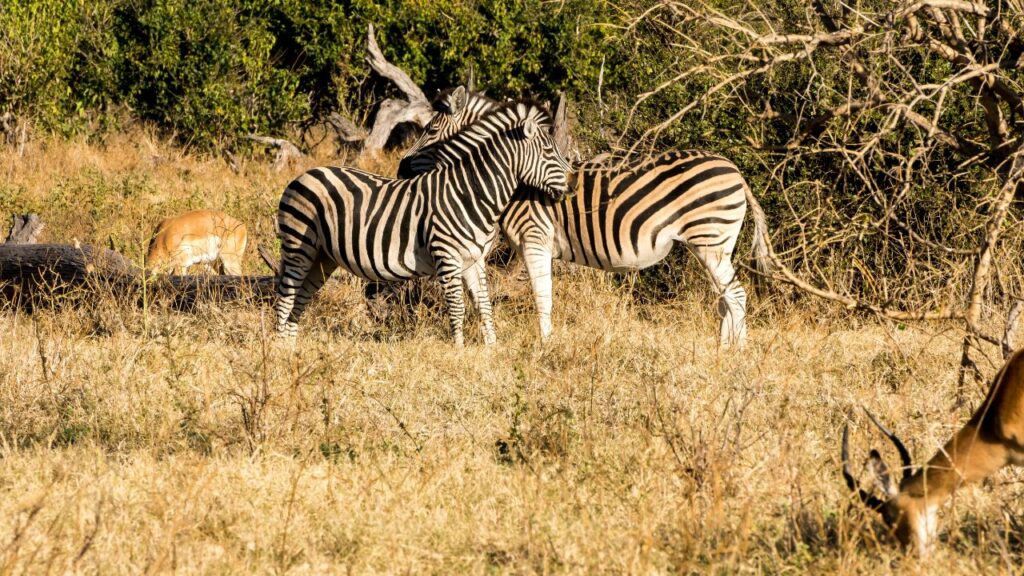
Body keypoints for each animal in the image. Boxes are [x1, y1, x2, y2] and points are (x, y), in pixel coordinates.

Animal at [275, 101, 571, 346]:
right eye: (548, 151)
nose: (572, 184)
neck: (470, 193)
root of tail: (303, 175)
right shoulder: (447, 257)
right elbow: (458, 308)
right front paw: (459, 352)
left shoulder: (473, 260)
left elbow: (484, 305)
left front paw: (491, 348)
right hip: (299, 246)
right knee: (286, 297)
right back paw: (280, 352)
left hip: (323, 257)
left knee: (300, 299)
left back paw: (292, 350)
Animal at [398, 87, 769, 348]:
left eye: (430, 130)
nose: (400, 167)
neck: (520, 180)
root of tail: (734, 170)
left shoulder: (535, 240)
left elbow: (542, 297)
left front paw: (545, 345)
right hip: (710, 244)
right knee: (725, 298)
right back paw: (722, 350)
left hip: (711, 240)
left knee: (736, 296)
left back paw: (737, 355)